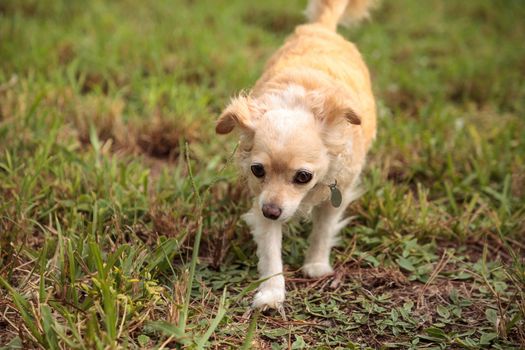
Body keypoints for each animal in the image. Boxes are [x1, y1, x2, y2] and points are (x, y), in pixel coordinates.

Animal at [215, 0, 378, 310]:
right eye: (257, 170)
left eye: (303, 177)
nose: (272, 210)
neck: (298, 101)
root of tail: (321, 28)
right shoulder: (262, 200)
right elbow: (270, 251)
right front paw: (271, 293)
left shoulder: (337, 192)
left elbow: (323, 229)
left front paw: (315, 264)